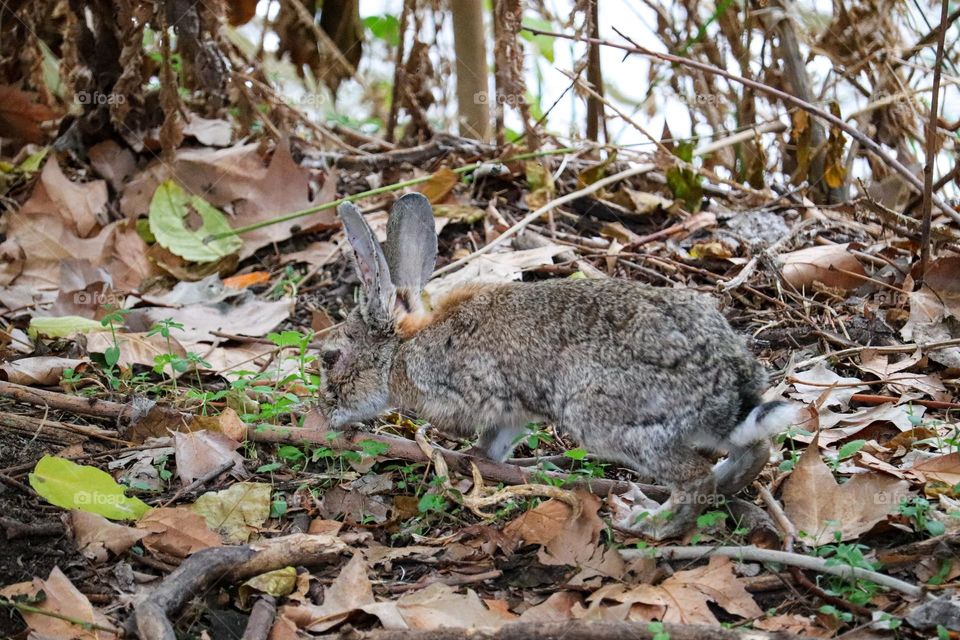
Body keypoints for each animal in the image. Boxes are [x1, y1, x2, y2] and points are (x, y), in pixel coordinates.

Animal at [322, 191, 796, 540]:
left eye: (331, 357)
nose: (325, 411)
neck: (402, 348)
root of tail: (728, 384)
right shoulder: (512, 414)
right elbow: (496, 443)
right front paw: (483, 461)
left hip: (607, 421)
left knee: (695, 479)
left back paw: (652, 525)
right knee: (755, 449)